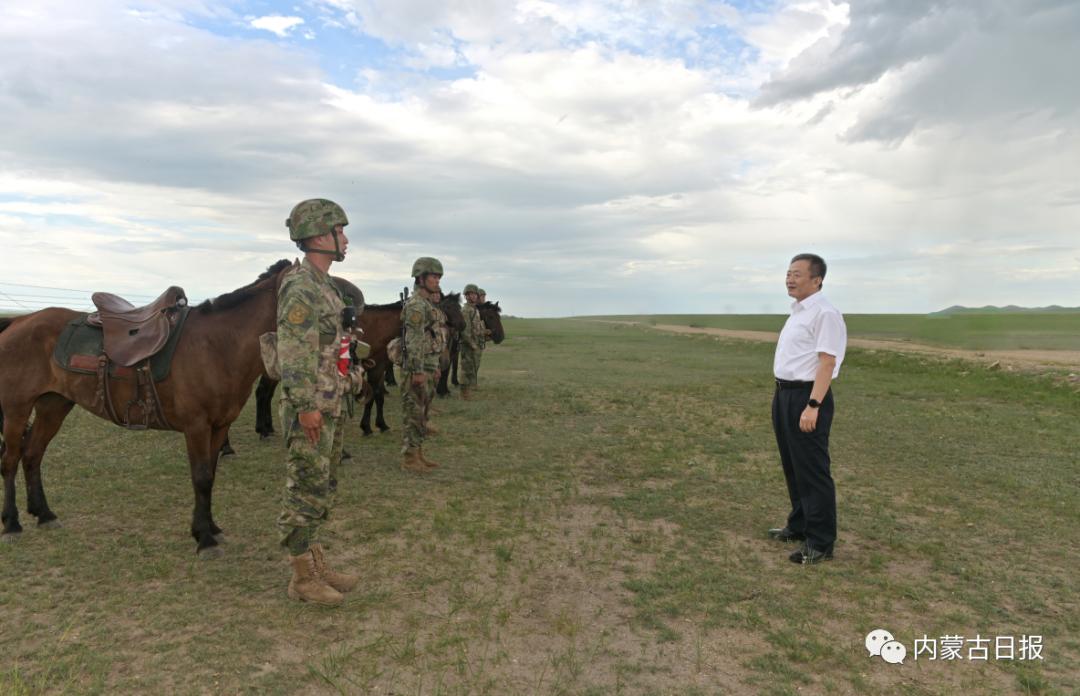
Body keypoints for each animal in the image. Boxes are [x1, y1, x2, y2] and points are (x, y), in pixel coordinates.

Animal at [0, 258, 295, 557]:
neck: (217, 345)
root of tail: (18, 322)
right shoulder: (196, 427)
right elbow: (201, 477)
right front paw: (204, 539)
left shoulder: (220, 425)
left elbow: (210, 475)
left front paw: (210, 529)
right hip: (16, 410)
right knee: (10, 460)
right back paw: (12, 523)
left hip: (53, 406)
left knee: (32, 454)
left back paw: (44, 514)